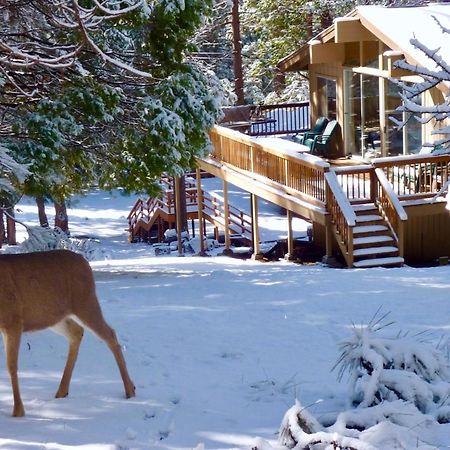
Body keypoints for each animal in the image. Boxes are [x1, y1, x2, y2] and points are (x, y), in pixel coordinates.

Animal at [0, 248, 135, 416]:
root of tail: (85, 262)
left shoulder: (13, 321)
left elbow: (11, 366)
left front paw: (18, 411)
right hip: (54, 316)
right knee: (77, 332)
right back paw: (62, 391)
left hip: (85, 302)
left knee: (110, 334)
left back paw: (130, 390)